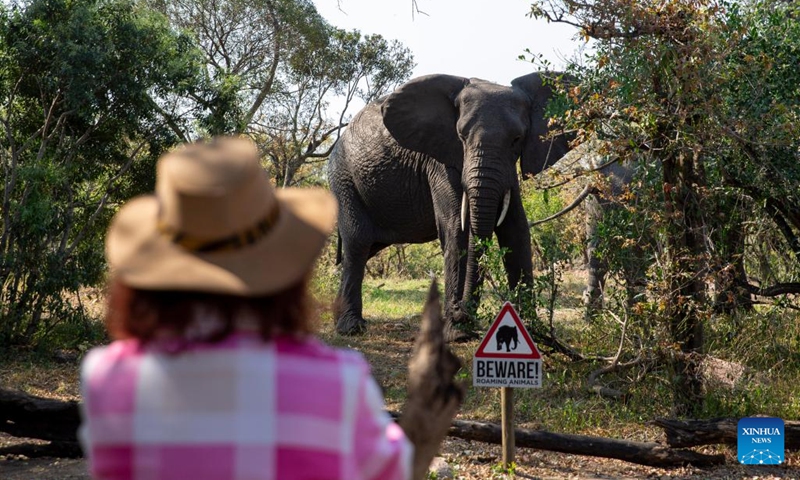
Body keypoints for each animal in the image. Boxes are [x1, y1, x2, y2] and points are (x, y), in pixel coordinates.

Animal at [328, 72, 572, 338]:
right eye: (462, 137)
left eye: (516, 140)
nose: (461, 312)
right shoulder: (438, 162)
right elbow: (457, 226)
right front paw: (458, 333)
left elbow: (515, 229)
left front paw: (532, 330)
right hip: (343, 179)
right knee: (358, 242)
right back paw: (351, 328)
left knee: (366, 248)